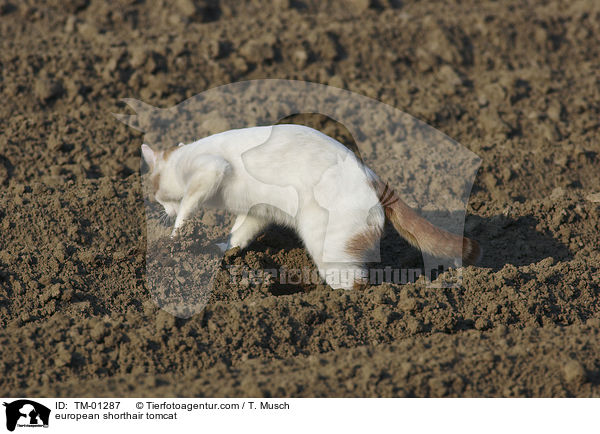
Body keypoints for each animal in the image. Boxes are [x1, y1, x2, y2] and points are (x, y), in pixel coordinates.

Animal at [139, 124, 478, 290]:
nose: (164, 210)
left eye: (157, 198)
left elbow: (188, 205)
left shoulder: (211, 171)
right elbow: (239, 234)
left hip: (330, 249)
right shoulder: (257, 211)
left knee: (358, 283)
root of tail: (372, 176)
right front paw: (224, 250)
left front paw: (176, 236)